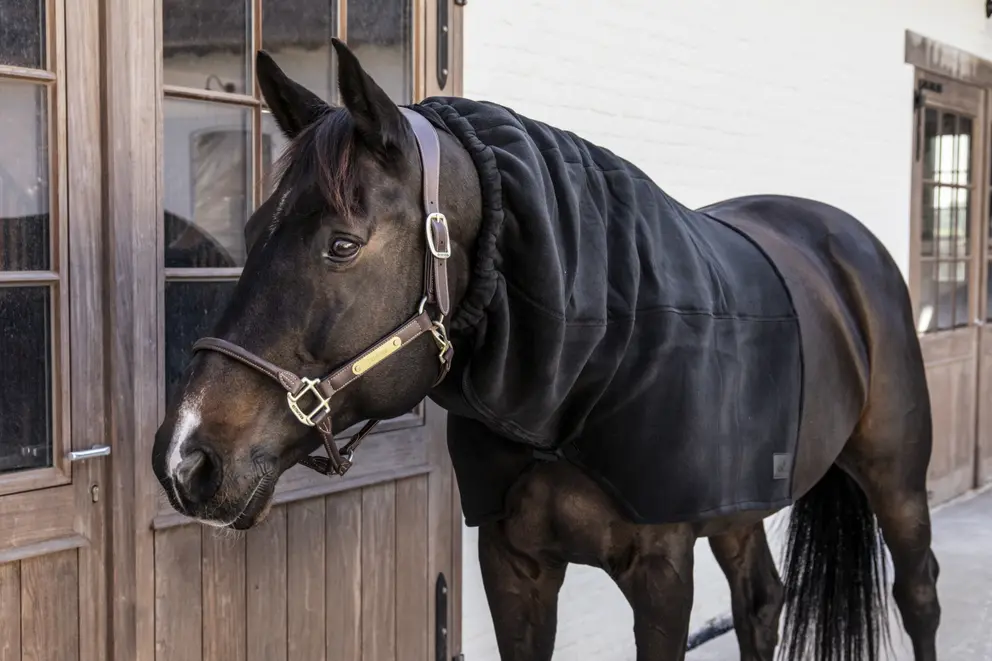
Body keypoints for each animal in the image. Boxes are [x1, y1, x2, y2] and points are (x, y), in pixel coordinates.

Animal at [152, 39, 939, 661]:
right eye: (251, 230)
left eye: (342, 245)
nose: (186, 458)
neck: (590, 367)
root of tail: (846, 241)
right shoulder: (513, 566)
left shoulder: (662, 574)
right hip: (740, 507)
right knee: (762, 603)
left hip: (896, 482)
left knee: (919, 595)